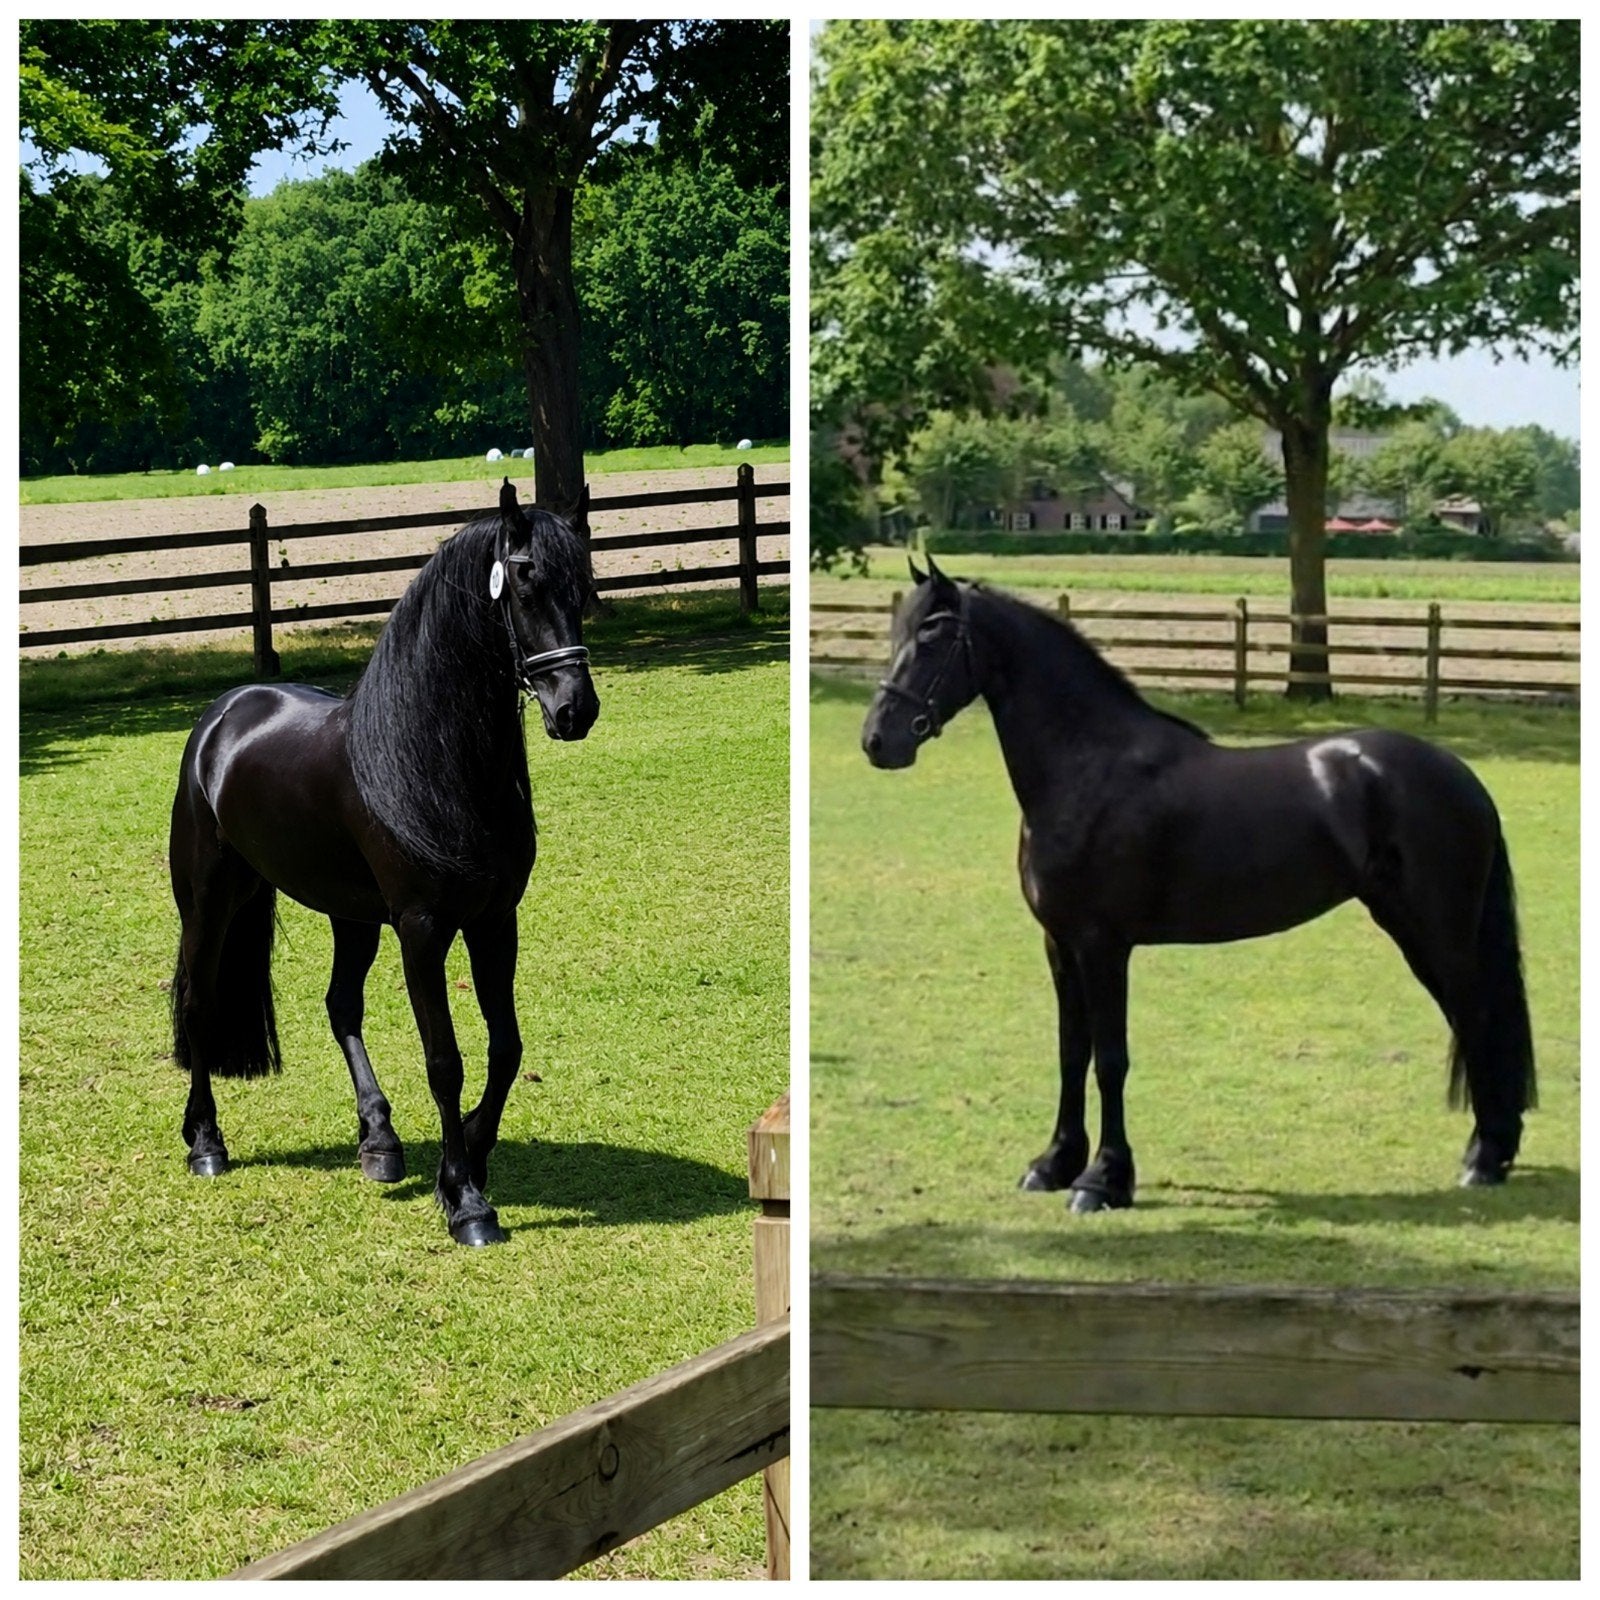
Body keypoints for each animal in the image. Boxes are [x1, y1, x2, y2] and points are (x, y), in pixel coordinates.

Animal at [168, 478, 600, 1246]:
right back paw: (207, 1143)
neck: (434, 763)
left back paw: (379, 1139)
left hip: (351, 916)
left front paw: (470, 1157)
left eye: (583, 587)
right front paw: (466, 1202)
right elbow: (445, 1060)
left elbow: (506, 1048)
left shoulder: (495, 922)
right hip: (211, 902)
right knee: (199, 1003)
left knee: (341, 1005)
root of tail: (221, 718)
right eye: (524, 581)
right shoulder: (422, 930)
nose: (575, 709)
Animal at [861, 557, 1535, 1212]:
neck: (1090, 769)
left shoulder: (1104, 946)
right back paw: (1493, 1151)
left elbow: (1110, 1059)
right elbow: (1071, 1052)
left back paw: (1484, 1158)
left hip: (1438, 931)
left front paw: (1103, 1180)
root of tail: (1461, 776)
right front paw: (1053, 1164)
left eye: (934, 634)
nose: (877, 741)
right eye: (899, 631)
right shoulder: (1060, 944)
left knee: (1475, 1017)